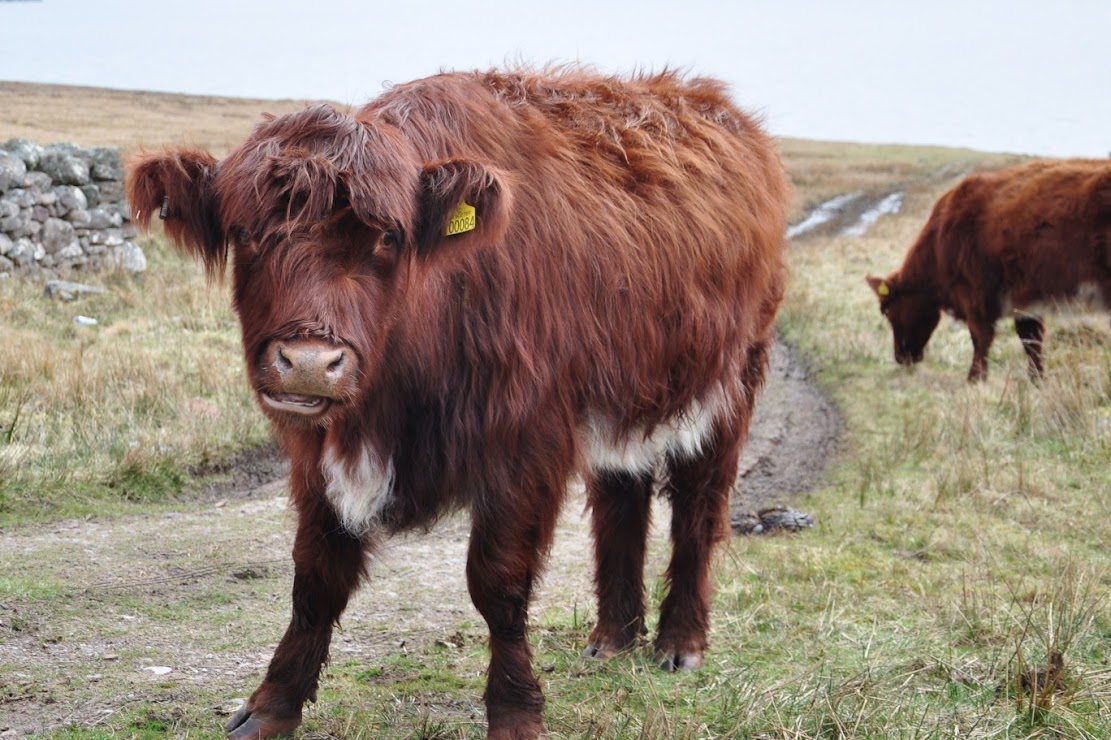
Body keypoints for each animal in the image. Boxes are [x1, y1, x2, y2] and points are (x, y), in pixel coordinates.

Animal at [127, 66, 791, 733]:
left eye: (388, 236)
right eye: (244, 234)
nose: (310, 363)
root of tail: (713, 104)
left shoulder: (524, 443)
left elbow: (499, 584)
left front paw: (516, 713)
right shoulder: (319, 454)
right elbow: (315, 578)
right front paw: (271, 707)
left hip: (730, 385)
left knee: (699, 508)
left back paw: (680, 644)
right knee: (621, 498)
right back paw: (613, 638)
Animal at [866, 158, 1111, 382]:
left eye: (887, 311)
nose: (901, 356)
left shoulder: (975, 296)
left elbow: (980, 337)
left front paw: (975, 378)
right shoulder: (1026, 301)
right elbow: (1031, 340)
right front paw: (1037, 379)